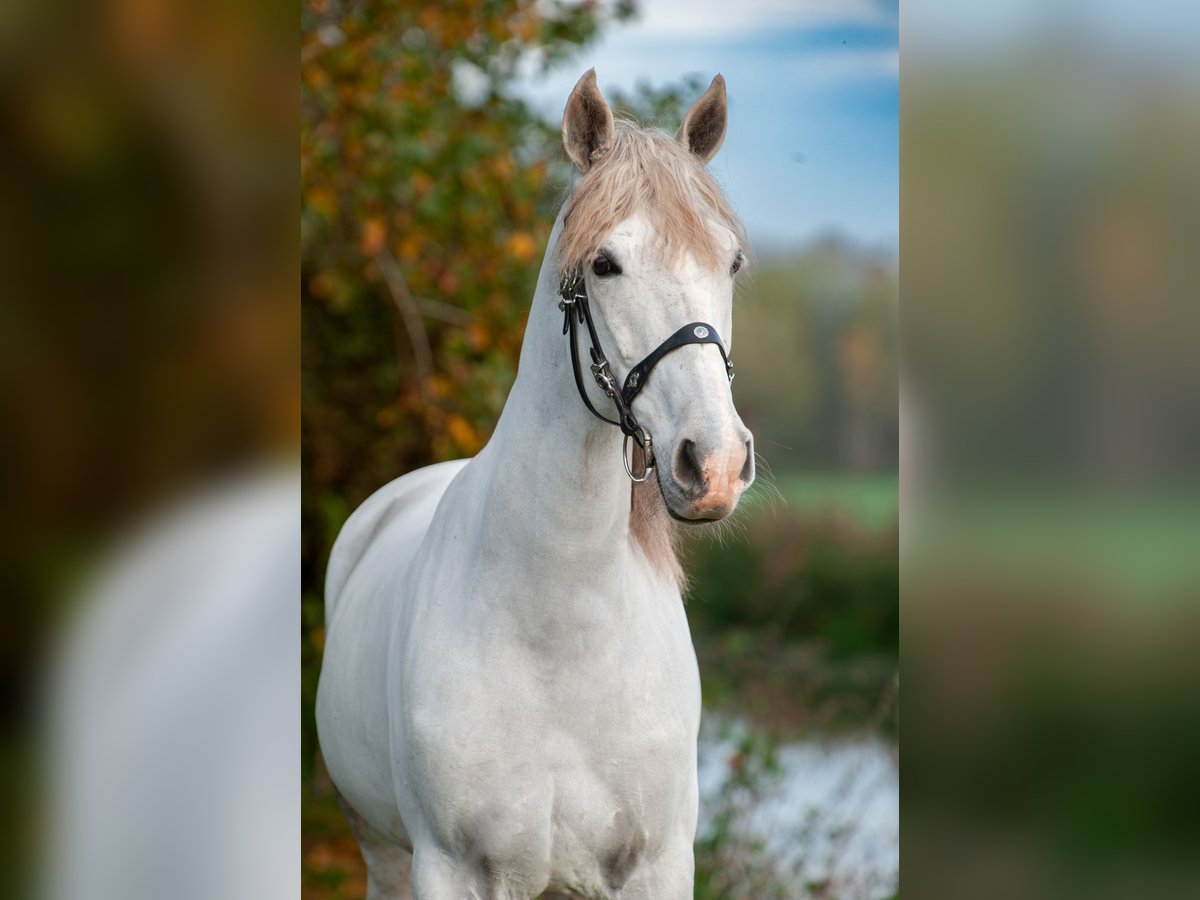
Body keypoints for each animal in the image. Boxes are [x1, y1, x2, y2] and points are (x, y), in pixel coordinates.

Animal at [314, 72, 753, 900]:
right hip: (380, 852)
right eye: (605, 264)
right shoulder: (446, 867)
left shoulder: (658, 867)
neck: (560, 630)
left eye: (732, 262)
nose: (712, 465)